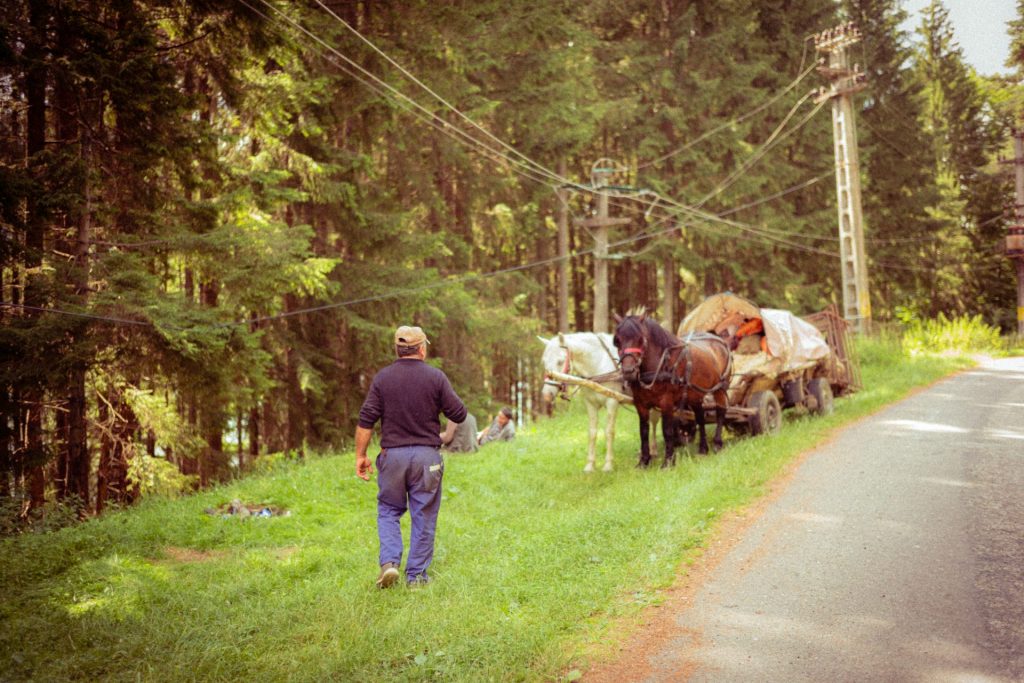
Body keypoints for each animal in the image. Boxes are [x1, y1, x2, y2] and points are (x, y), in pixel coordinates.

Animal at [540, 331, 618, 473]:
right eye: (544, 362)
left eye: (560, 361)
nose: (547, 395)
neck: (599, 364)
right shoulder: (591, 404)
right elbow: (592, 433)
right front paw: (590, 465)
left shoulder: (612, 402)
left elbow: (609, 432)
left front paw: (608, 465)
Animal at [610, 313, 733, 466]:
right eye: (617, 340)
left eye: (641, 340)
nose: (628, 371)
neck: (661, 363)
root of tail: (720, 340)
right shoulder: (640, 404)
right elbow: (643, 431)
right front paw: (644, 461)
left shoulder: (666, 403)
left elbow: (667, 431)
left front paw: (668, 461)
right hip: (694, 394)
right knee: (700, 417)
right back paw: (703, 449)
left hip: (720, 388)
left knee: (720, 411)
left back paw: (717, 443)